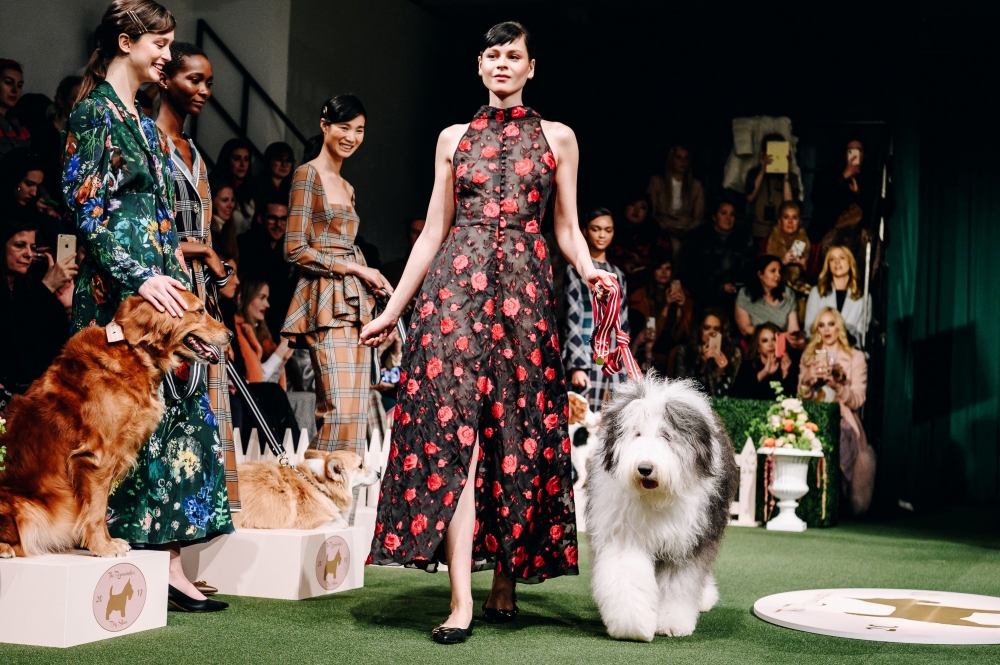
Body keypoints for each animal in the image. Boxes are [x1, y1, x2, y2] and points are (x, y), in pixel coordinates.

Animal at [0, 291, 231, 559]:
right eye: (200, 311)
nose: (231, 335)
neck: (135, 351)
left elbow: (100, 509)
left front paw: (107, 541)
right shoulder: (96, 457)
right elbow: (97, 509)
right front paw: (102, 547)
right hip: (28, 507)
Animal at [585, 375, 738, 641]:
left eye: (666, 435)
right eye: (636, 433)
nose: (645, 468)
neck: (655, 499)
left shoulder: (686, 542)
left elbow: (680, 584)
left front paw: (671, 623)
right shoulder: (623, 535)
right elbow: (627, 577)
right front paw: (633, 625)